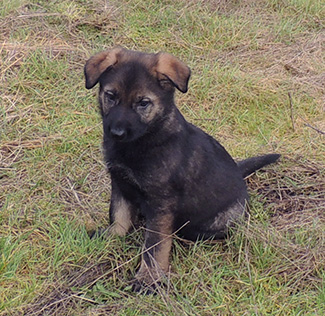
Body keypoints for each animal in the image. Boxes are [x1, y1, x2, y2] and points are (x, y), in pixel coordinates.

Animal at [83, 47, 278, 292]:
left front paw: (148, 278)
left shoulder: (160, 204)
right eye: (110, 96)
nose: (116, 133)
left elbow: (154, 246)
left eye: (143, 103)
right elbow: (118, 215)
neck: (142, 142)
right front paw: (111, 237)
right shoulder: (119, 183)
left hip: (220, 221)